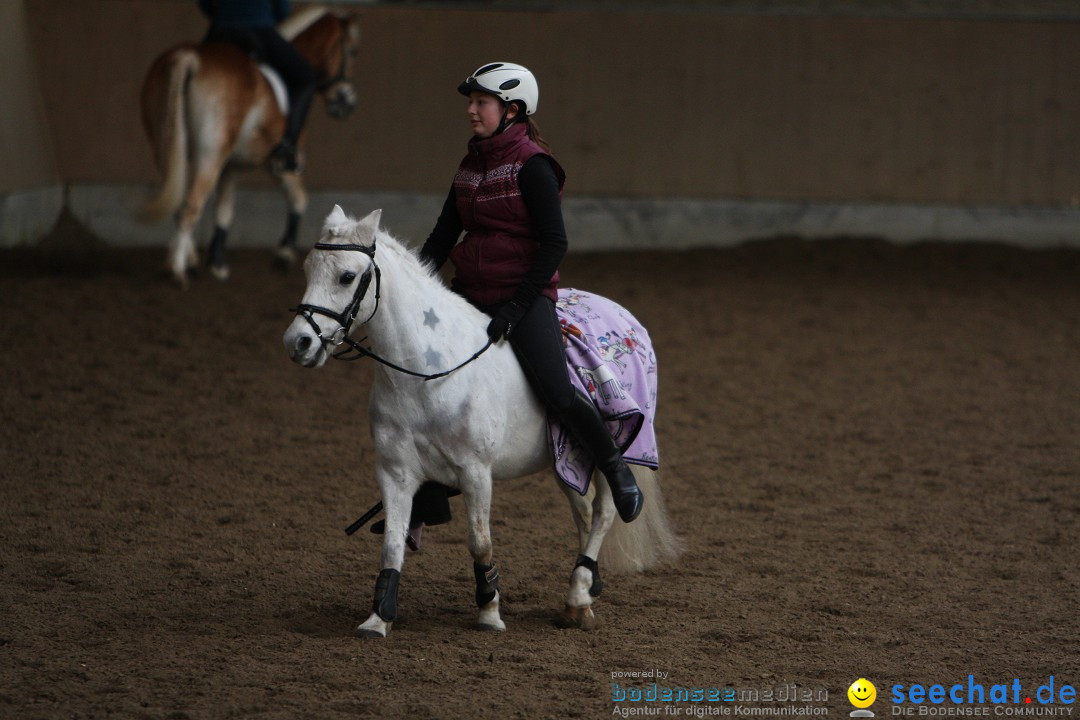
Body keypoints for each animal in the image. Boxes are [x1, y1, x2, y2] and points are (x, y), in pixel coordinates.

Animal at [139, 8, 362, 284]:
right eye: (352, 51)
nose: (346, 102)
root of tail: (188, 57)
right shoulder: (279, 162)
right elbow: (298, 198)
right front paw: (284, 254)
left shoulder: (231, 166)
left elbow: (224, 210)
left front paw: (217, 263)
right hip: (210, 156)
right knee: (190, 206)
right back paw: (179, 271)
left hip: (167, 149)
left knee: (178, 201)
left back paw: (187, 260)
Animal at [282, 207, 678, 634]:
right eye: (308, 269)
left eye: (347, 277)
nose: (298, 343)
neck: (426, 372)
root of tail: (625, 316)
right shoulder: (395, 471)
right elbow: (392, 542)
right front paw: (378, 617)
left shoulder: (475, 471)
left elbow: (479, 540)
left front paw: (489, 610)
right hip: (565, 458)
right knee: (584, 513)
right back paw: (582, 598)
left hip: (607, 444)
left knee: (605, 510)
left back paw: (582, 586)